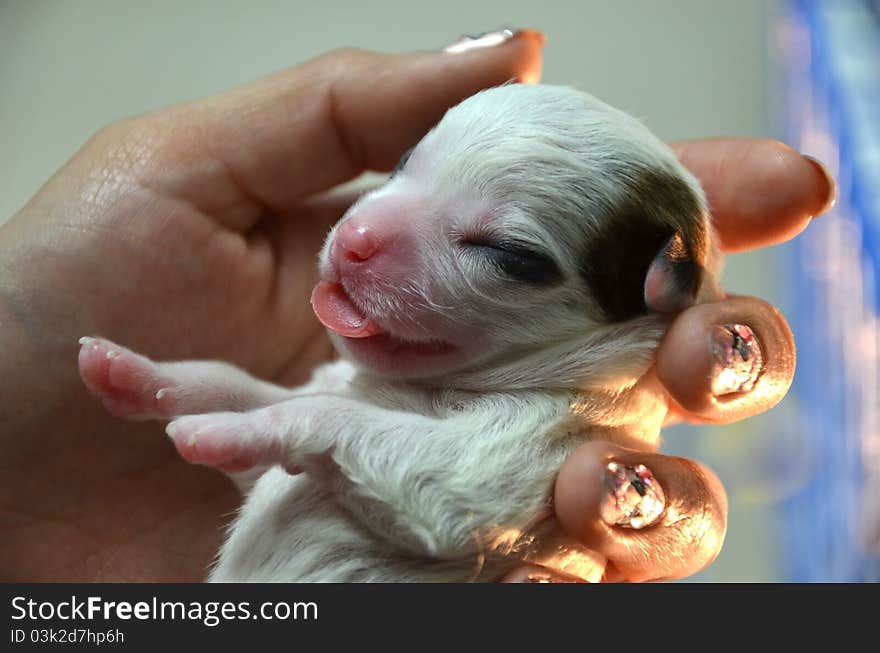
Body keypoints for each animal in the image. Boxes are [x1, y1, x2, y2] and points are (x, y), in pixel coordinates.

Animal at [77, 83, 720, 580]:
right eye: (404, 159)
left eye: (509, 255)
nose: (354, 241)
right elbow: (246, 390)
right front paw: (138, 374)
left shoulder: (534, 447)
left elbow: (341, 424)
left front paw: (221, 431)